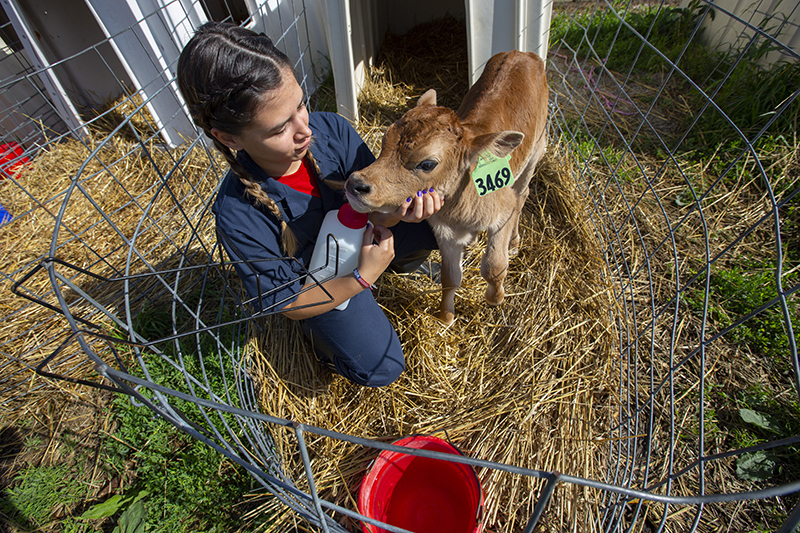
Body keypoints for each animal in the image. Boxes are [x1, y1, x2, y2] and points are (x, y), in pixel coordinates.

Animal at [344, 51, 552, 324]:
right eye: (385, 140)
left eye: (428, 163)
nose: (356, 184)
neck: (460, 207)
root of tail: (522, 54)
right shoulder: (445, 232)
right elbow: (450, 277)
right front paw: (446, 317)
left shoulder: (502, 213)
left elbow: (494, 266)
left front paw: (495, 299)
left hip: (537, 148)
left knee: (522, 194)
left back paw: (515, 242)